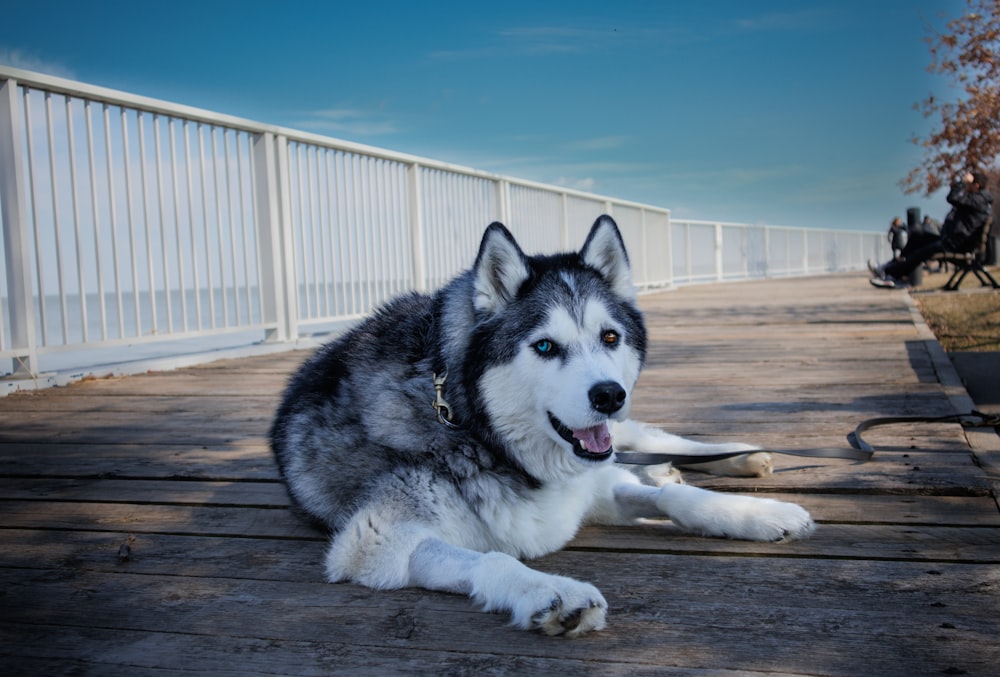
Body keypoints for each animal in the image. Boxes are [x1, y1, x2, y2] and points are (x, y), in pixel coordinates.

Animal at [272, 218, 812, 640]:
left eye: (609, 337)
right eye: (546, 346)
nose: (609, 395)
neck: (475, 430)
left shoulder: (595, 485)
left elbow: (676, 499)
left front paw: (756, 514)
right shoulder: (376, 541)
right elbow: (494, 560)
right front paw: (551, 591)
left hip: (627, 435)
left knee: (653, 439)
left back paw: (742, 455)